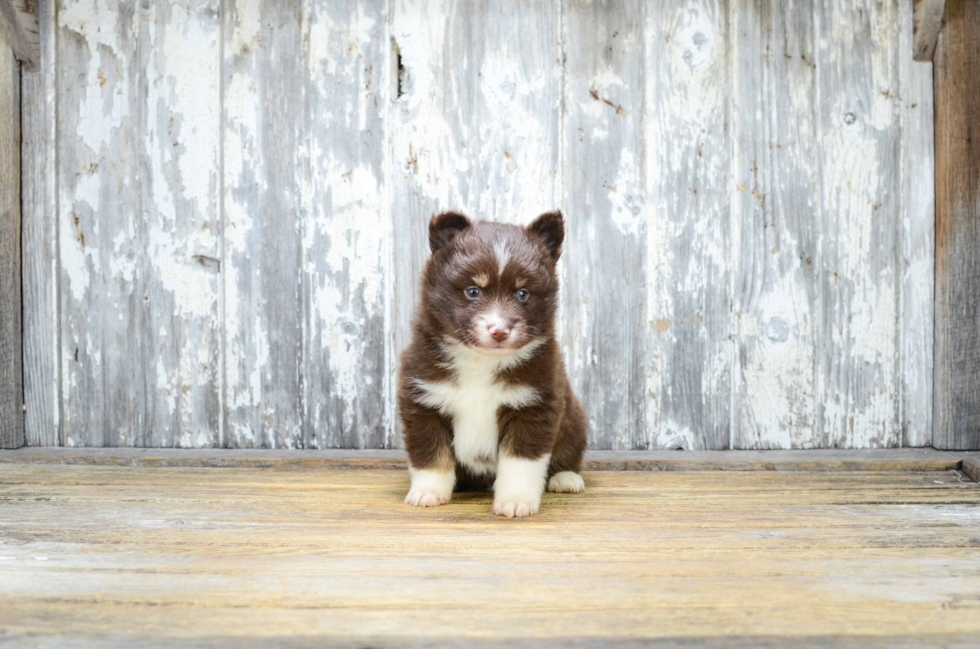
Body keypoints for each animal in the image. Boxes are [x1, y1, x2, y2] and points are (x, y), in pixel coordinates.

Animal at [398, 210, 588, 520]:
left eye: (522, 293)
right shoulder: (423, 401)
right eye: (473, 291)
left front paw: (515, 500)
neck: (481, 363)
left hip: (575, 421)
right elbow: (431, 455)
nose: (499, 330)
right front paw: (428, 492)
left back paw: (566, 478)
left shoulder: (535, 405)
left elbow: (520, 462)